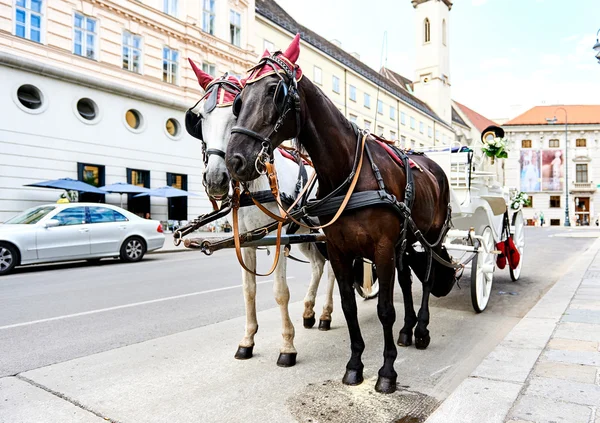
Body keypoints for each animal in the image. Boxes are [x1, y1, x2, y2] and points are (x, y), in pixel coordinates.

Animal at [186, 62, 338, 368]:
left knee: (331, 271)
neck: (257, 185)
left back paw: (326, 313)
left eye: (235, 113)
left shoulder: (279, 238)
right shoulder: (247, 242)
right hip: (305, 235)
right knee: (318, 266)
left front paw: (287, 346)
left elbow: (280, 293)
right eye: (200, 120)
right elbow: (249, 290)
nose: (217, 178)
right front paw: (247, 340)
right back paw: (309, 311)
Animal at [225, 34, 450, 396]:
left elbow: (384, 309)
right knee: (405, 280)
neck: (349, 171)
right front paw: (355, 365)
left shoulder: (382, 249)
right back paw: (408, 328)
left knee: (426, 279)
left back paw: (421, 329)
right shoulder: (341, 250)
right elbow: (349, 307)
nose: (234, 160)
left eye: (275, 92)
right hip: (403, 242)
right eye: (240, 99)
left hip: (428, 237)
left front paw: (387, 371)